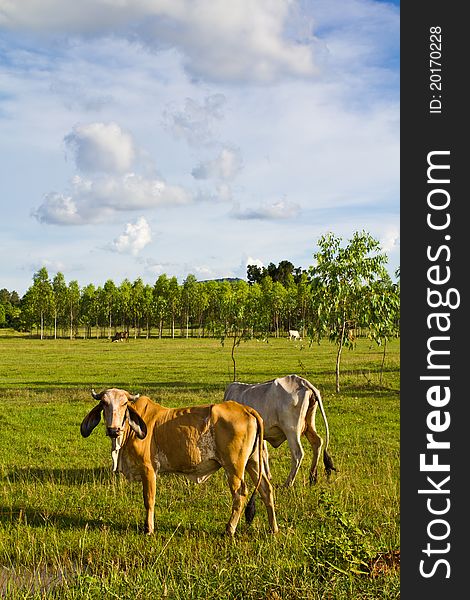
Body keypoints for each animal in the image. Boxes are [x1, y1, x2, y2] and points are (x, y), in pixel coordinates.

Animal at [81, 390, 280, 540]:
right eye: (104, 404)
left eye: (124, 404)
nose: (113, 429)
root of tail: (246, 409)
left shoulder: (149, 469)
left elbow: (149, 500)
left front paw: (149, 529)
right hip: (253, 461)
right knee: (266, 489)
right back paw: (273, 528)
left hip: (234, 467)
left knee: (240, 494)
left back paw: (229, 529)